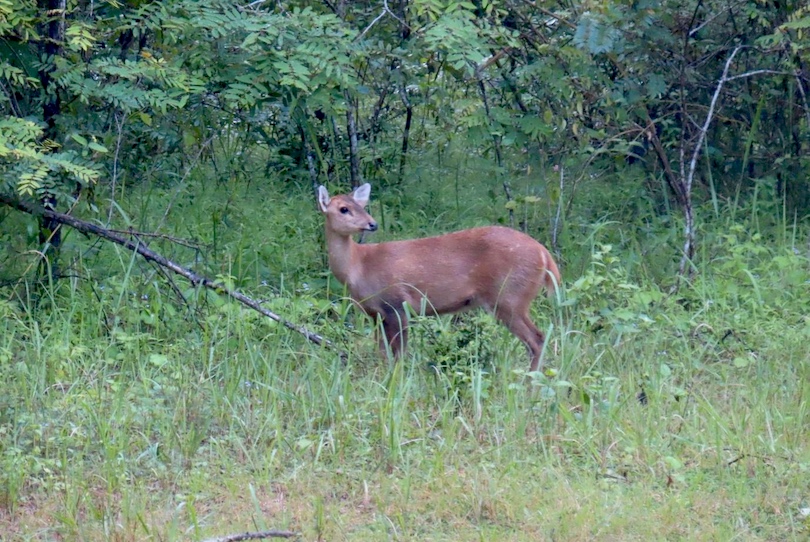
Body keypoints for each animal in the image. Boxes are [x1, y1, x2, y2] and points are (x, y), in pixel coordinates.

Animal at [317, 183, 561, 372]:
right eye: (344, 208)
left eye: (362, 206)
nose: (372, 223)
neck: (359, 266)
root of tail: (544, 254)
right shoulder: (375, 314)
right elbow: (382, 353)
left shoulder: (397, 304)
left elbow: (399, 355)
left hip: (509, 297)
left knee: (537, 339)